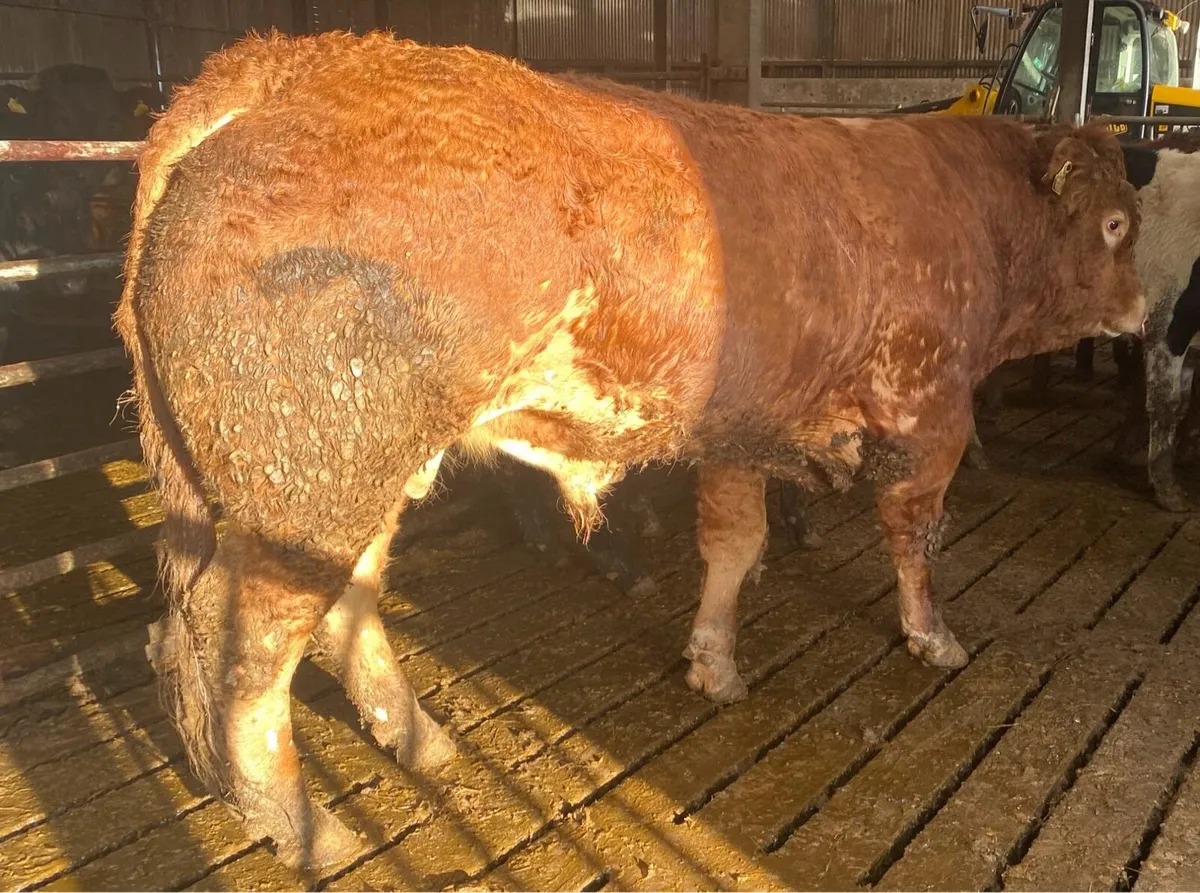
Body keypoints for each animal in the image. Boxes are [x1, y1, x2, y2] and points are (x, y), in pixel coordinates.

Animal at [115, 32, 1144, 867]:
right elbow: (913, 539)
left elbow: (732, 543)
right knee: (236, 647)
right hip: (308, 479)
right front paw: (932, 636)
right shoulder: (929, 417)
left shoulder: (742, 428)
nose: (1141, 309)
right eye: (1117, 224)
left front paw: (714, 660)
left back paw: (414, 735)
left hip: (359, 470)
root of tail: (291, 60)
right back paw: (297, 818)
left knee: (346, 606)